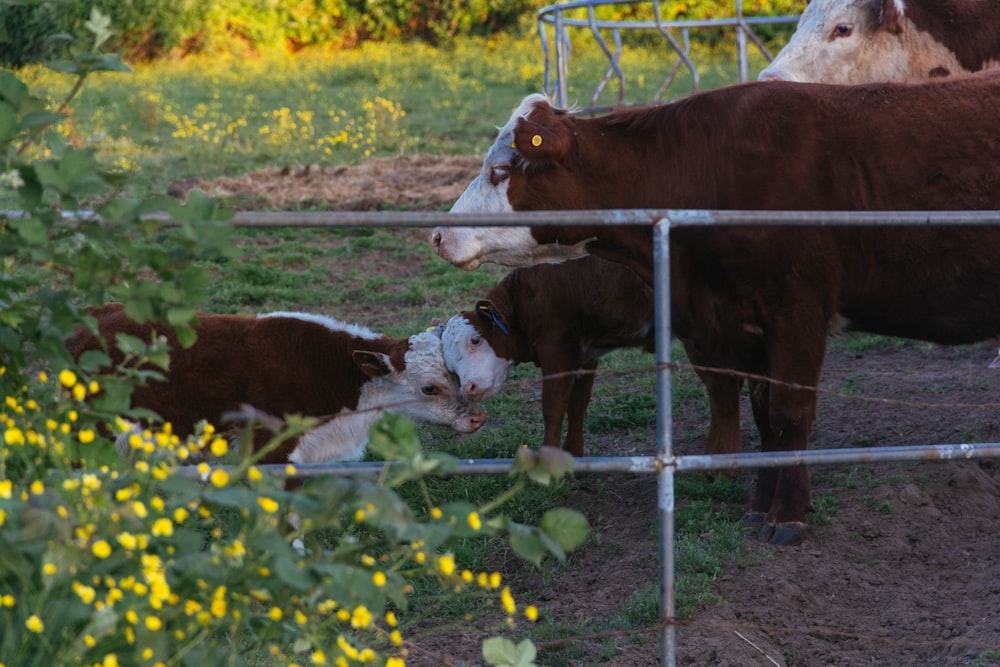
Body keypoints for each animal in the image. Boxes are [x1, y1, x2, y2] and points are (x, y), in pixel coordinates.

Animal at [432, 77, 1000, 548]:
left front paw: (788, 516)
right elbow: (764, 414)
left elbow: (790, 413)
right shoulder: (741, 324)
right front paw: (759, 506)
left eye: (500, 170)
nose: (438, 234)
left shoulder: (797, 313)